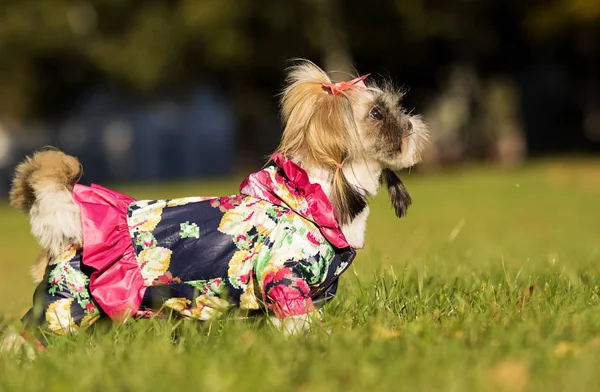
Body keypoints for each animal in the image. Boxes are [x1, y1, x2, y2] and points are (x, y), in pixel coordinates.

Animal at [3, 59, 426, 352]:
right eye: (377, 113)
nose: (411, 124)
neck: (308, 195)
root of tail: (71, 224)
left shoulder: (310, 293)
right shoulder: (284, 279)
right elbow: (299, 321)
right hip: (66, 303)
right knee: (28, 336)